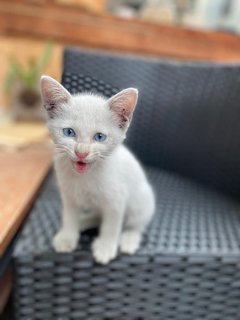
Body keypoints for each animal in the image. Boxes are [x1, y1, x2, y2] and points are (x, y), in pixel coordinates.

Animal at [40, 75, 155, 264]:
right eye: (69, 132)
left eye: (99, 137)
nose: (81, 152)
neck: (86, 177)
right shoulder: (68, 195)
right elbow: (69, 216)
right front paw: (67, 236)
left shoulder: (117, 200)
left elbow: (111, 225)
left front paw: (106, 247)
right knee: (98, 215)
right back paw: (84, 220)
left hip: (141, 202)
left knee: (136, 224)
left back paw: (130, 238)